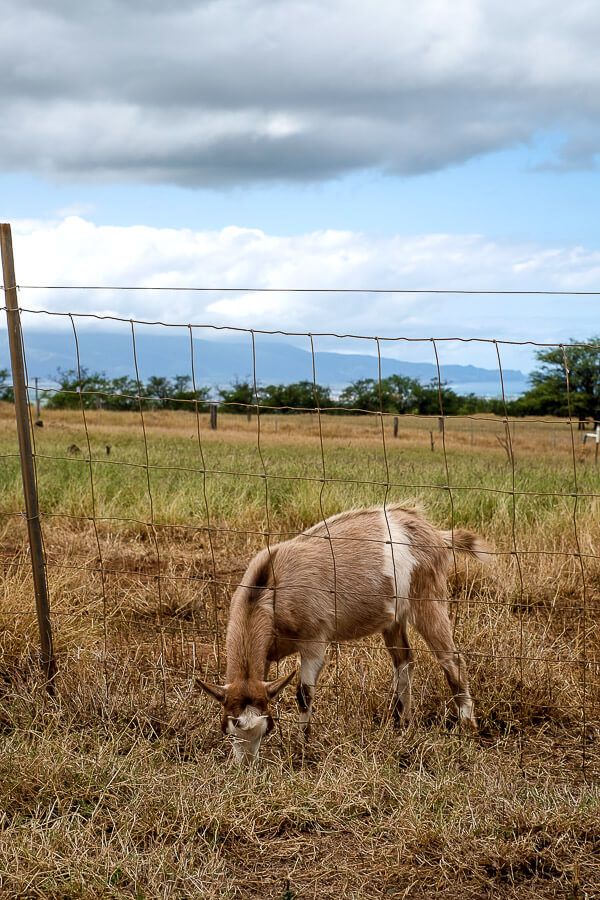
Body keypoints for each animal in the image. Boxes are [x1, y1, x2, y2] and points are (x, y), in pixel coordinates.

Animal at [199, 502, 490, 764]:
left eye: (264, 727)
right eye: (230, 727)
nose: (246, 766)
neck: (268, 590)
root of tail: (435, 534)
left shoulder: (314, 640)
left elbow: (303, 695)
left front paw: (302, 747)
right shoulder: (266, 656)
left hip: (428, 598)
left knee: (452, 661)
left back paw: (468, 731)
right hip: (394, 618)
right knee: (404, 660)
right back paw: (400, 725)